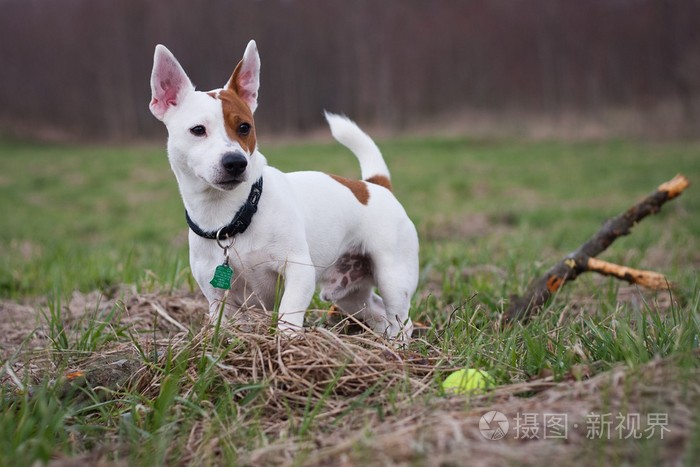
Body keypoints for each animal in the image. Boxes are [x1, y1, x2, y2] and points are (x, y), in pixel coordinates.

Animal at [148, 40, 418, 340]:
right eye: (198, 130)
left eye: (244, 127)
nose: (235, 162)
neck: (234, 215)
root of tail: (373, 185)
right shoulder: (218, 296)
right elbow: (225, 323)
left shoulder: (298, 272)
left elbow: (288, 315)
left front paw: (285, 343)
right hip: (349, 295)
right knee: (378, 312)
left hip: (393, 276)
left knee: (401, 318)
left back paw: (399, 346)